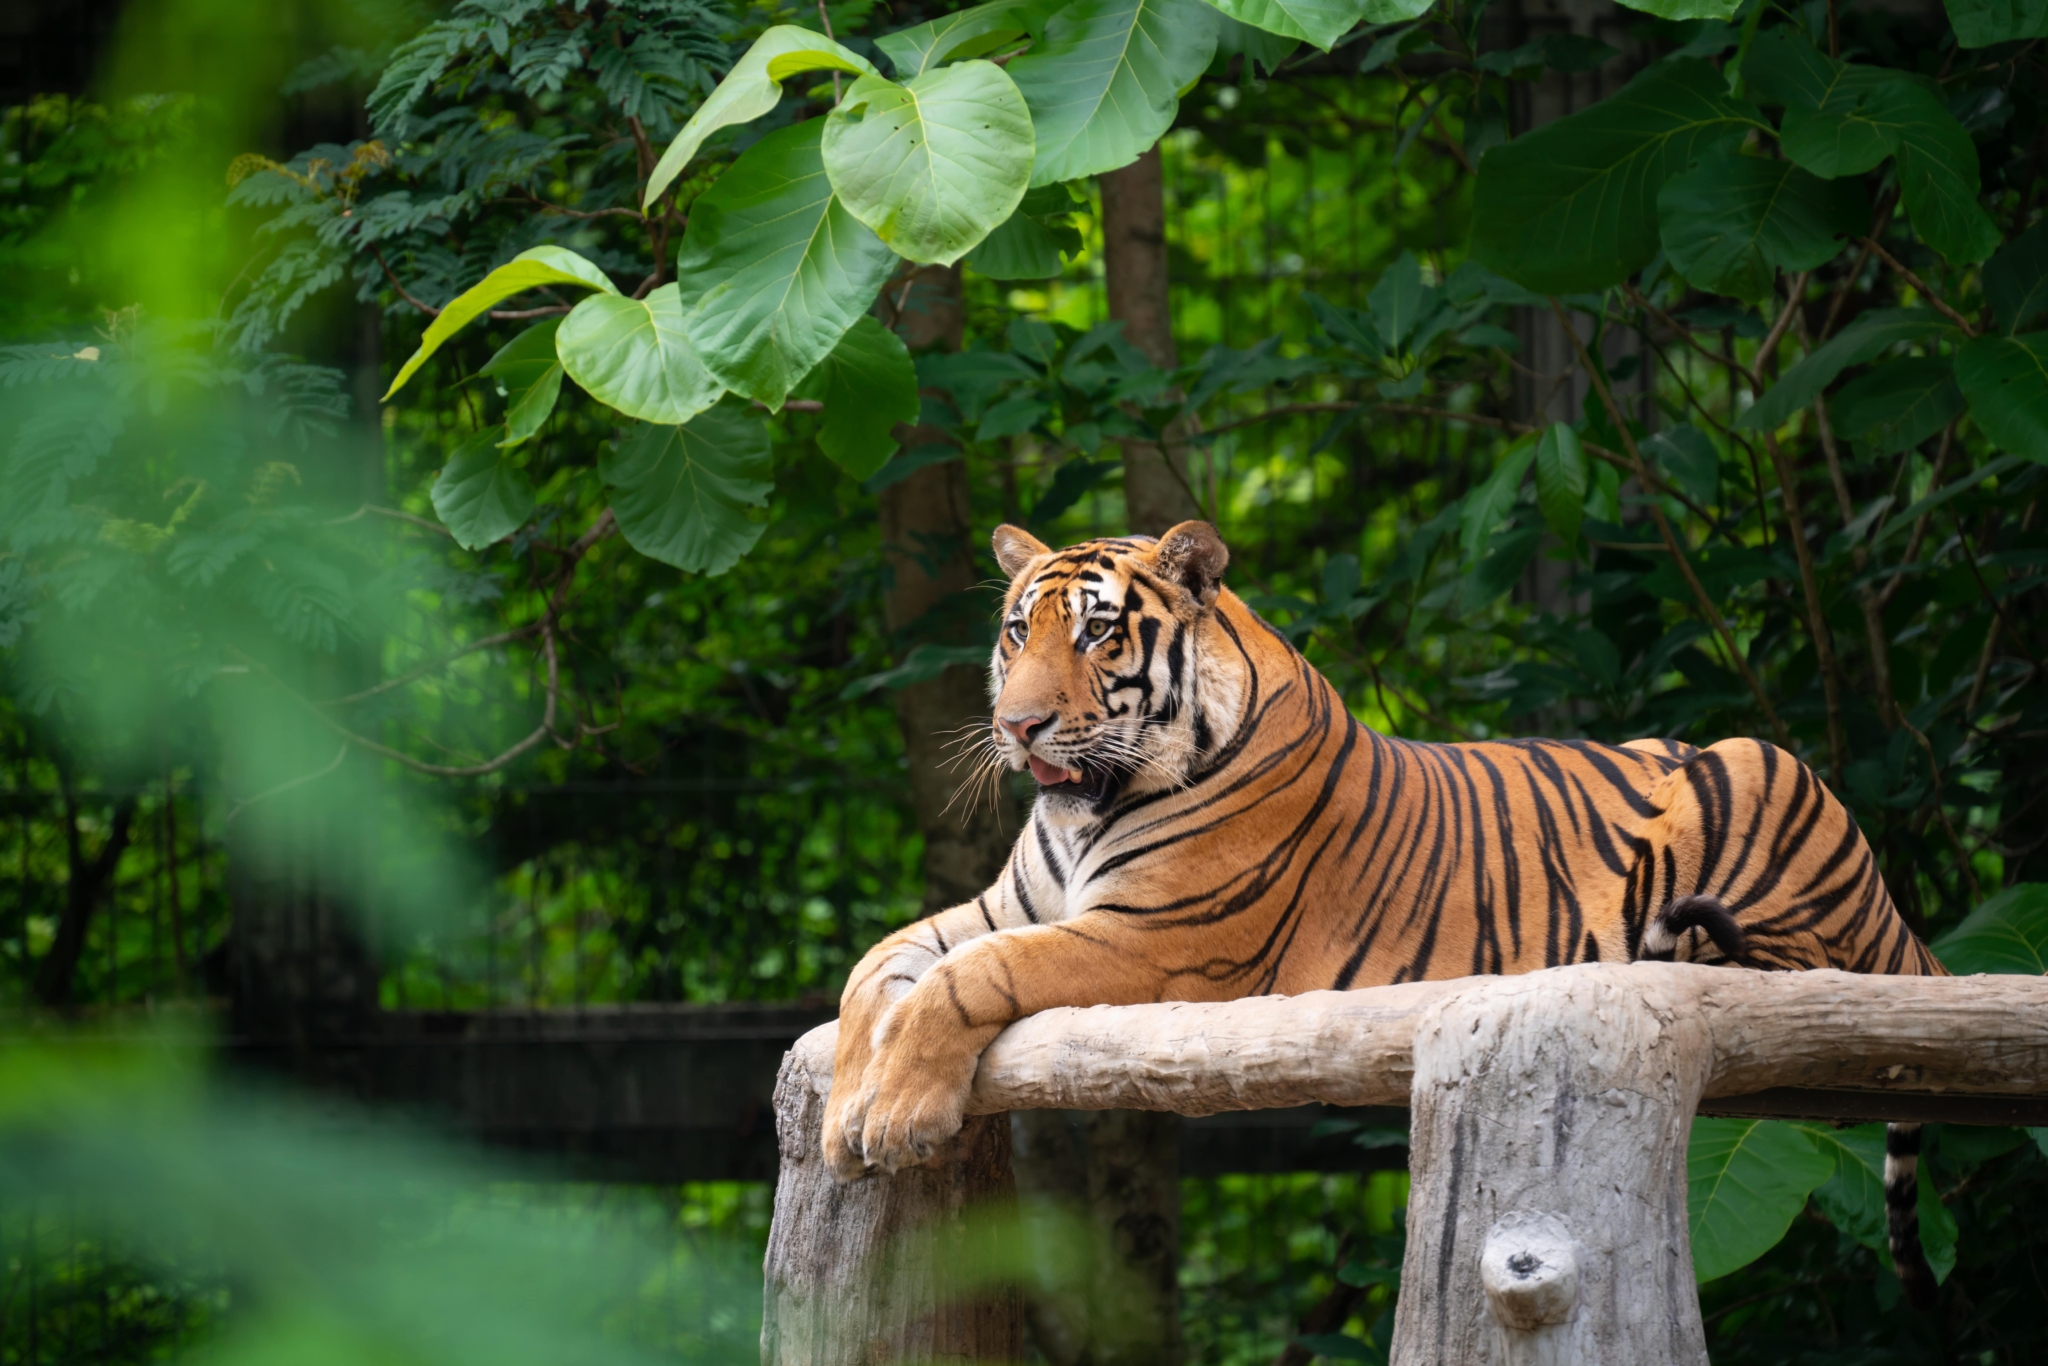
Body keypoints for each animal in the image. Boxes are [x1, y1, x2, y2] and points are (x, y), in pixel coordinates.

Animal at [823, 520, 1941, 1302]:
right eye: (1018, 631)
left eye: (1097, 632)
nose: (1017, 726)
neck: (1092, 805)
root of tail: (1893, 905)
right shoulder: (997, 904)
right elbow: (874, 969)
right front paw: (841, 1119)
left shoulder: (1160, 942)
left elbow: (973, 974)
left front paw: (899, 1113)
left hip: (1755, 769)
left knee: (1804, 973)